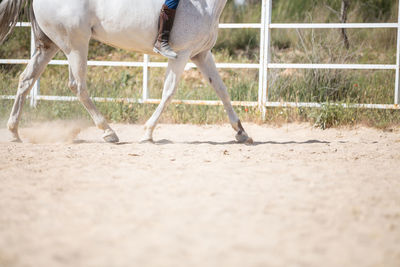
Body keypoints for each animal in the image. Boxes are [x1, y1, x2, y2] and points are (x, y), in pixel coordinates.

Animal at [0, 0, 253, 144]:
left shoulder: (201, 54)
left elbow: (221, 89)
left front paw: (241, 132)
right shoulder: (182, 54)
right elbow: (169, 92)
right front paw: (148, 132)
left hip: (48, 45)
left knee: (26, 80)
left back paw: (13, 132)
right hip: (75, 44)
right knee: (77, 85)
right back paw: (109, 132)